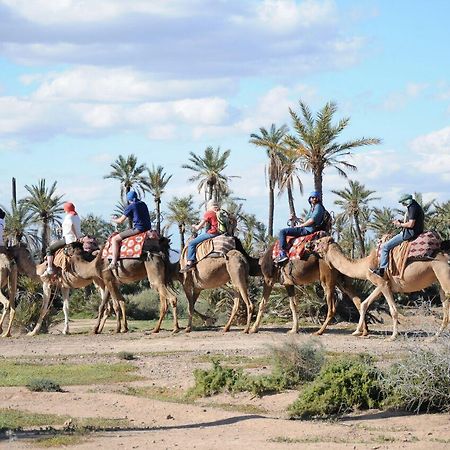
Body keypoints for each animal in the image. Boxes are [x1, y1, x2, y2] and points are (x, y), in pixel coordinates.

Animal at [310, 237, 450, 340]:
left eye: (319, 241)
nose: (310, 244)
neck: (365, 264)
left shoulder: (382, 282)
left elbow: (393, 310)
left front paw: (393, 336)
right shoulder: (383, 283)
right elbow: (364, 304)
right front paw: (357, 331)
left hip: (443, 274)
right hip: (440, 282)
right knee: (445, 308)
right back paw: (434, 337)